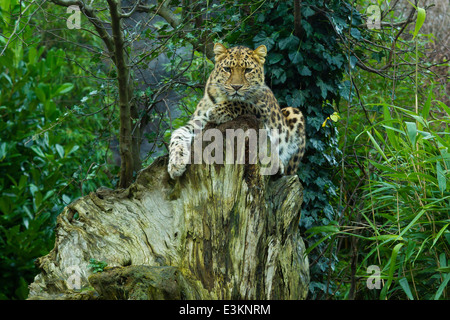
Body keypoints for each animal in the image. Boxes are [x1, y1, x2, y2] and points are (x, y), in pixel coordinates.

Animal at [168, 42, 306, 180]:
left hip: (294, 113)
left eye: (248, 70)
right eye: (227, 69)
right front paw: (175, 164)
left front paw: (218, 111)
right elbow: (177, 135)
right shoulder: (197, 122)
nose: (236, 87)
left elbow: (241, 103)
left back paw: (280, 165)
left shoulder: (263, 110)